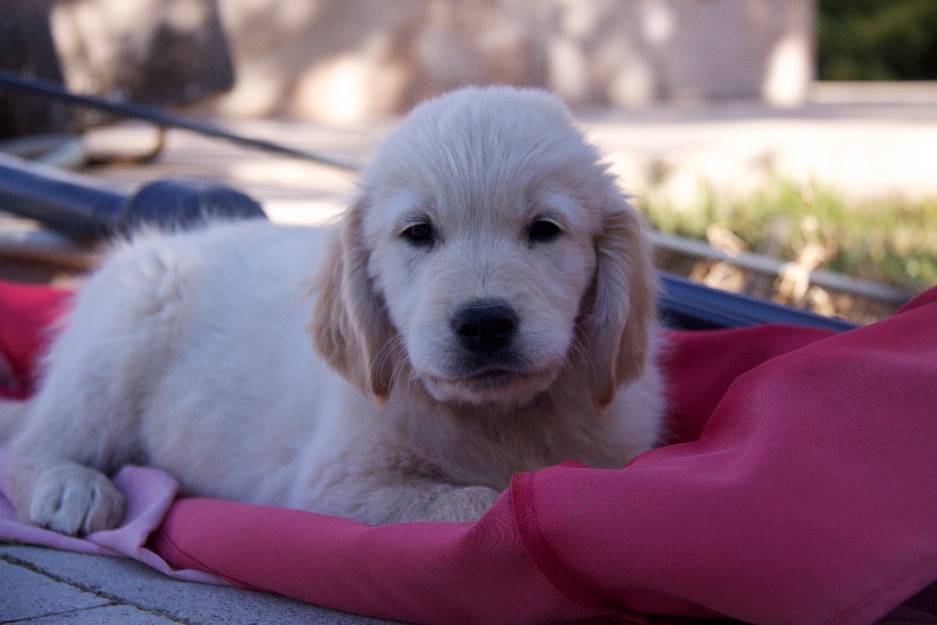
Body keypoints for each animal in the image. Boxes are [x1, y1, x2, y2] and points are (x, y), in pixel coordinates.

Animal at [1, 85, 664, 532]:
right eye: (418, 233)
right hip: (114, 350)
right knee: (29, 445)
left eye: (545, 229)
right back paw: (72, 488)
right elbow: (477, 499)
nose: (483, 323)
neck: (500, 416)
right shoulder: (336, 488)